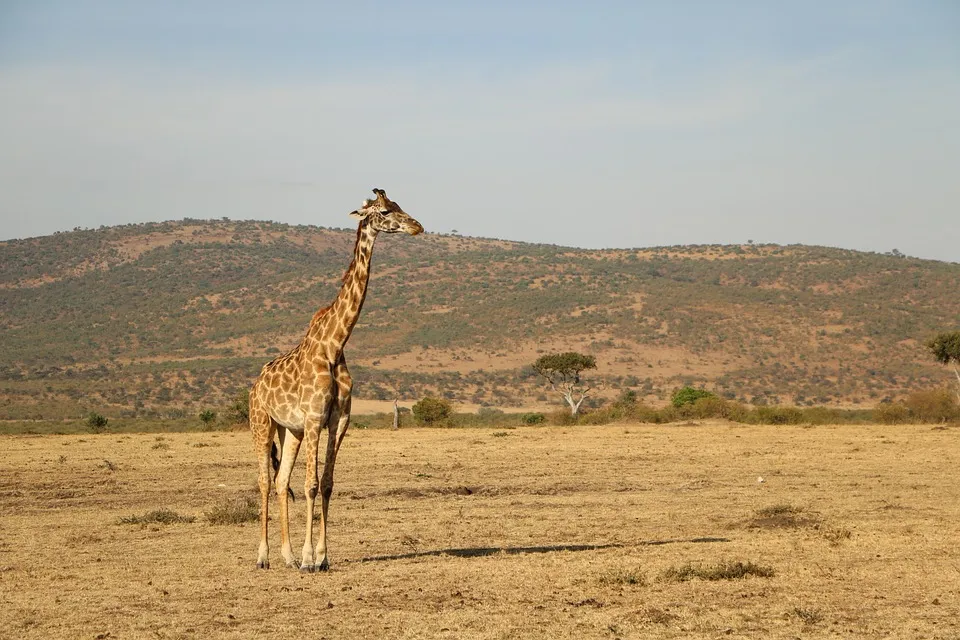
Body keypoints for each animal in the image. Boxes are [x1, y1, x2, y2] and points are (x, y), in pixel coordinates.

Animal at [249, 186, 422, 568]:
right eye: (385, 211)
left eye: (399, 205)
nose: (417, 226)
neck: (335, 344)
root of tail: (255, 385)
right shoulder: (315, 418)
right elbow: (311, 484)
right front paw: (309, 558)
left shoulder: (337, 420)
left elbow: (327, 484)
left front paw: (322, 557)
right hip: (261, 424)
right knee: (265, 481)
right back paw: (263, 556)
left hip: (290, 431)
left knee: (281, 481)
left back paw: (286, 557)